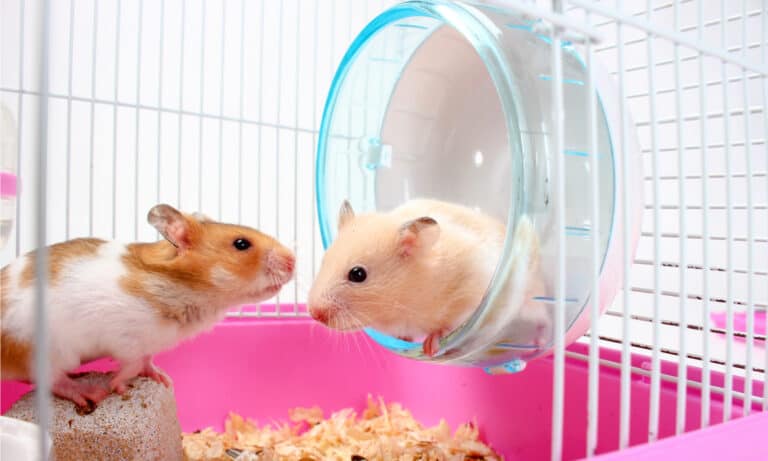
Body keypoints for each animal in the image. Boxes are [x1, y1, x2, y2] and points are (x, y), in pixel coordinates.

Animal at [0, 204, 295, 408]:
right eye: (241, 244)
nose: (294, 260)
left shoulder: (148, 345)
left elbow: (147, 361)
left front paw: (164, 379)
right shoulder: (126, 340)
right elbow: (130, 365)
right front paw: (116, 385)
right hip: (44, 351)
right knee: (51, 380)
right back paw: (90, 392)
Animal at [307, 198, 547, 357]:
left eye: (358, 274)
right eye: (324, 260)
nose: (313, 313)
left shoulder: (472, 289)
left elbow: (450, 324)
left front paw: (430, 347)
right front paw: (405, 342)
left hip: (531, 299)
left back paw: (539, 342)